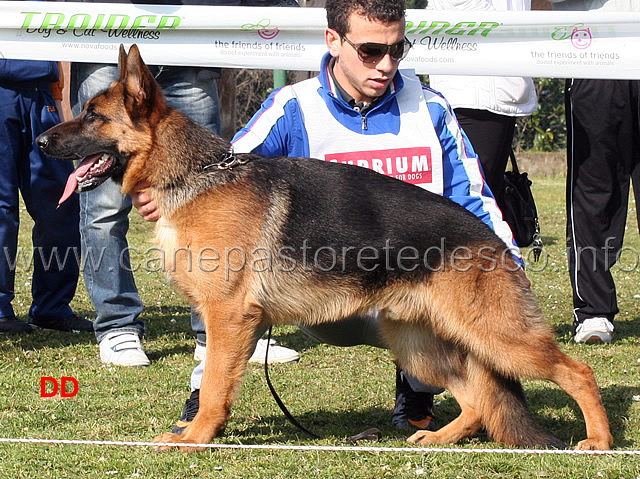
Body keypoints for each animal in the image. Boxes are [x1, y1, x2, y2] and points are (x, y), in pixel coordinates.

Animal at [37, 46, 612, 454]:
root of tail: (493, 236)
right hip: (420, 343)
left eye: (93, 116)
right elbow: (214, 379)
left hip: (497, 337)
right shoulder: (227, 319)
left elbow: (218, 384)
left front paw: (196, 438)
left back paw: (600, 441)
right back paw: (438, 437)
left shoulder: (227, 317)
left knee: (577, 373)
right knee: (478, 400)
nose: (42, 141)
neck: (193, 176)